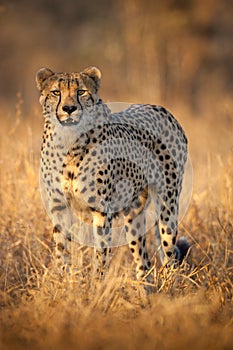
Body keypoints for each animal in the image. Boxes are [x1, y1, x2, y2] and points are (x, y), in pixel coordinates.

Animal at [36, 65, 189, 278]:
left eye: (81, 92)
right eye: (56, 92)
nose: (69, 109)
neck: (69, 140)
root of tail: (161, 109)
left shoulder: (102, 210)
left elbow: (100, 254)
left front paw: (95, 283)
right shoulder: (59, 206)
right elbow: (61, 250)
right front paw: (64, 279)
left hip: (167, 202)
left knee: (169, 254)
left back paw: (170, 283)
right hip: (134, 213)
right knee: (144, 263)